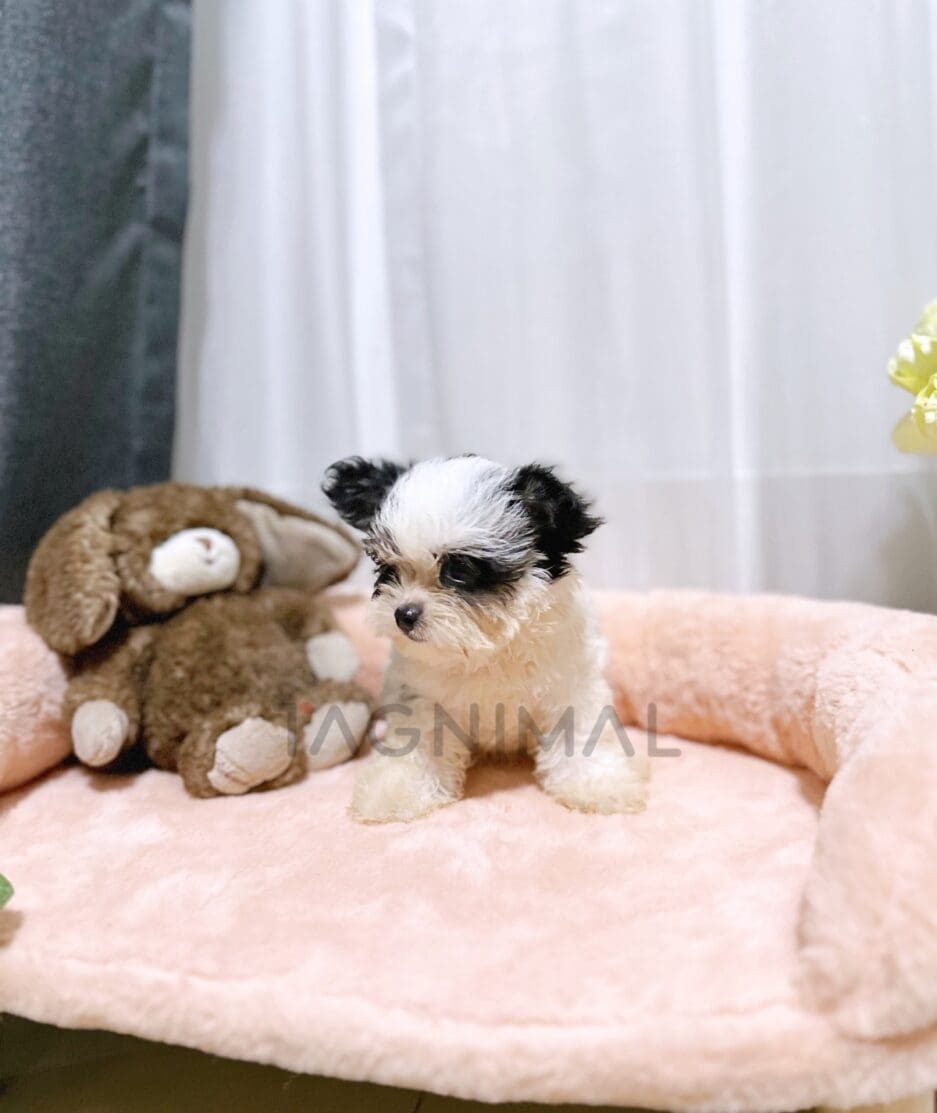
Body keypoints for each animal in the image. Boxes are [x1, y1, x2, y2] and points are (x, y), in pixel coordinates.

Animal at [322, 455, 649, 823]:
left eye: (460, 570)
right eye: (388, 570)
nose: (404, 614)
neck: (488, 648)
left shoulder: (571, 685)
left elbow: (580, 734)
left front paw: (599, 784)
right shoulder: (422, 697)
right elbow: (419, 739)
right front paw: (398, 790)